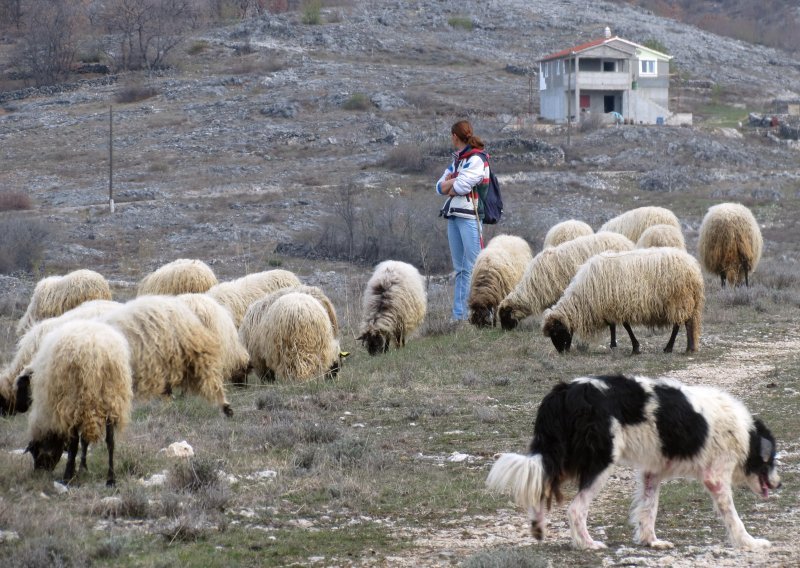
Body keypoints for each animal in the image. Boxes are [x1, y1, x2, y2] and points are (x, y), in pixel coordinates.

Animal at [22, 322, 132, 486]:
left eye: (36, 452)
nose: (39, 473)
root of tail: (95, 352)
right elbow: (85, 441)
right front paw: (82, 469)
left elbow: (75, 443)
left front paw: (73, 472)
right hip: (111, 400)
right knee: (110, 442)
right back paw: (111, 479)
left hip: (74, 400)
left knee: (75, 443)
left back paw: (67, 476)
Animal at [488, 374, 780, 548]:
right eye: (772, 461)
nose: (779, 484)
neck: (746, 435)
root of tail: (566, 390)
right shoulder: (716, 478)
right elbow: (733, 517)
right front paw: (750, 542)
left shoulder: (652, 472)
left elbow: (648, 509)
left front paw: (651, 541)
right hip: (600, 462)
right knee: (575, 509)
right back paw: (588, 544)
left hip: (560, 456)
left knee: (541, 487)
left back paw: (538, 527)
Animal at [540, 248, 704, 356]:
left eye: (556, 332)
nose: (561, 352)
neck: (583, 298)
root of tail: (693, 267)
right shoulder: (610, 306)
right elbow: (613, 325)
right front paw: (614, 345)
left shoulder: (618, 305)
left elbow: (625, 326)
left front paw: (634, 348)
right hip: (688, 301)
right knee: (689, 323)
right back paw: (689, 347)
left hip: (678, 300)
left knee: (678, 324)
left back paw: (670, 348)